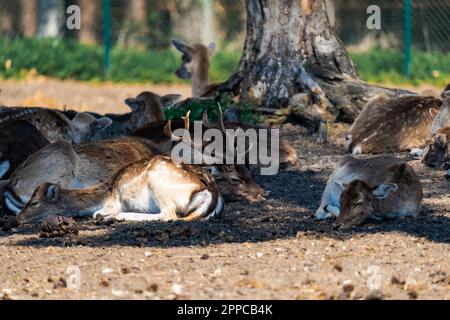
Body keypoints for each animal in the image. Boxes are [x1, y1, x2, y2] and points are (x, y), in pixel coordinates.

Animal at [16, 156, 224, 225]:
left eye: (33, 203)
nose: (17, 219)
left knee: (169, 215)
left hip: (159, 183)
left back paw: (117, 217)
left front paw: (107, 215)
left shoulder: (113, 202)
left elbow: (97, 213)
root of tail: (210, 191)